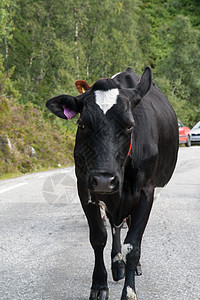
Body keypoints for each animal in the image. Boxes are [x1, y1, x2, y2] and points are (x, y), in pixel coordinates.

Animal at [46, 67, 178, 298]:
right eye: (82, 124)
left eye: (130, 126)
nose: (104, 180)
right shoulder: (86, 188)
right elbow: (99, 237)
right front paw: (99, 285)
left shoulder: (146, 191)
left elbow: (133, 246)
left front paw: (129, 292)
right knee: (116, 226)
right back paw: (117, 265)